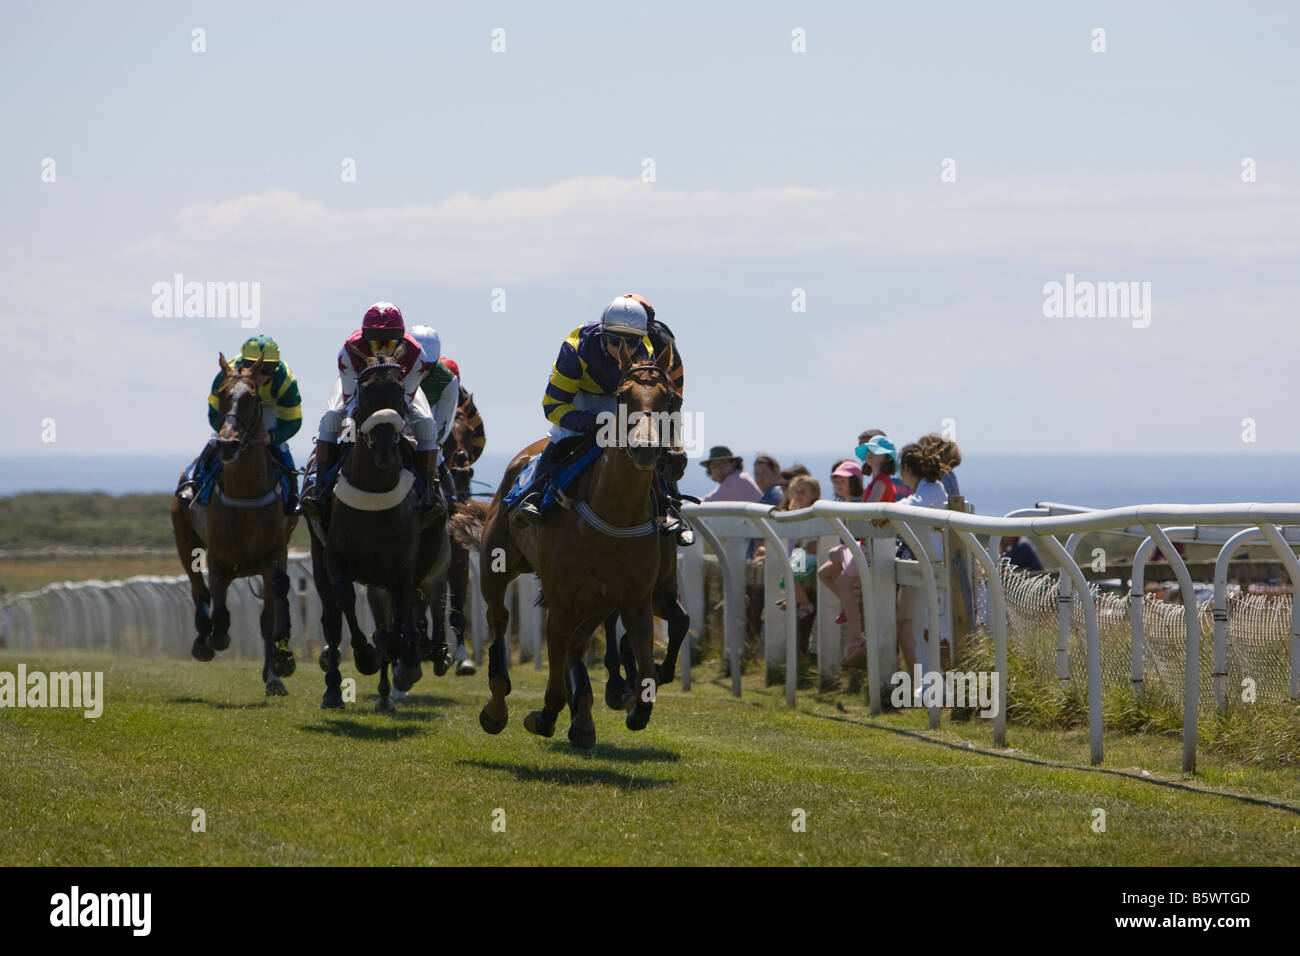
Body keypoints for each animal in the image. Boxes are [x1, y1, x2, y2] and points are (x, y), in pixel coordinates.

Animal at [169, 356, 296, 697]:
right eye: (223, 393)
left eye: (251, 396)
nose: (227, 444)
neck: (245, 493)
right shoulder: (218, 558)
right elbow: (219, 605)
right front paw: (217, 635)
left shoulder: (275, 553)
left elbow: (275, 603)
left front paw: (282, 662)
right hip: (184, 538)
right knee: (199, 590)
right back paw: (203, 640)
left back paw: (272, 675)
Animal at [480, 340, 681, 749]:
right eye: (621, 396)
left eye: (670, 398)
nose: (646, 450)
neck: (615, 514)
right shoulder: (561, 604)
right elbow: (554, 686)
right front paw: (543, 717)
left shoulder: (636, 601)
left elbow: (647, 679)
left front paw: (634, 707)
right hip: (495, 566)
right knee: (498, 621)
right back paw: (496, 706)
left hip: (597, 605)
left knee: (575, 646)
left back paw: (584, 721)